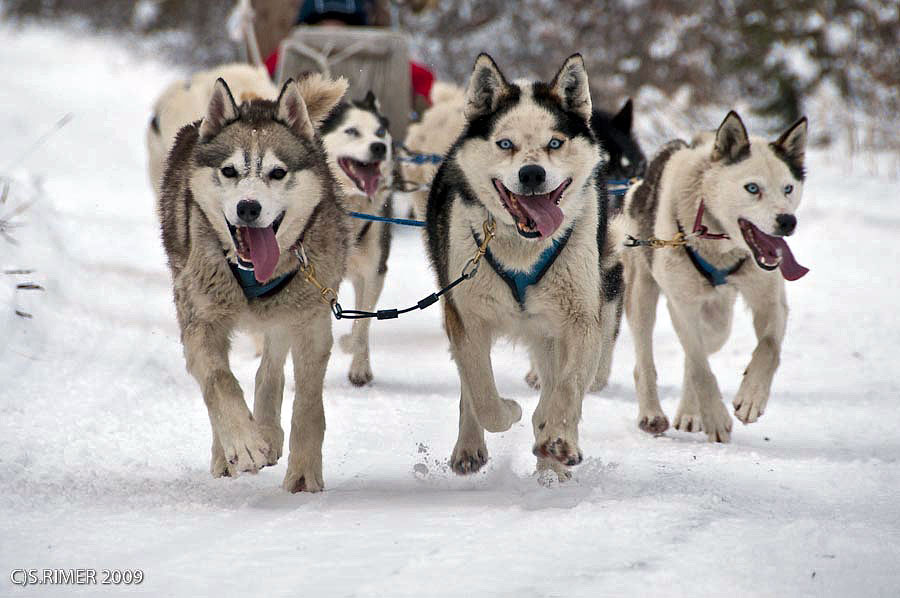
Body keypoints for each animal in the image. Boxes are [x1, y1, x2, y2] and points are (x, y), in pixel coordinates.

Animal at [158, 74, 348, 492]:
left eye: (278, 173)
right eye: (229, 171)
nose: (248, 207)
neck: (250, 274)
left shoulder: (311, 322)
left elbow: (308, 402)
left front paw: (303, 471)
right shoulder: (201, 321)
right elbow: (219, 381)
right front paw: (242, 443)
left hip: (286, 309)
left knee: (270, 368)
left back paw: (269, 432)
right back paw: (229, 450)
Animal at [426, 52, 624, 482]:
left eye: (555, 143)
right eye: (505, 143)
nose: (532, 173)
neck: (524, 248)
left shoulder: (580, 321)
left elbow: (567, 388)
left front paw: (557, 438)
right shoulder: (467, 319)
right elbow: (483, 396)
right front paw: (510, 410)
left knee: (558, 383)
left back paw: (553, 461)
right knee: (472, 389)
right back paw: (471, 446)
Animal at [620, 111, 808, 446]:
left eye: (788, 188)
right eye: (752, 188)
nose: (788, 221)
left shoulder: (770, 302)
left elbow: (770, 347)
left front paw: (751, 397)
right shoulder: (681, 304)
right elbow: (699, 367)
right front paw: (715, 416)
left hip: (719, 315)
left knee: (708, 340)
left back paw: (689, 411)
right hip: (642, 293)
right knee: (646, 357)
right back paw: (652, 414)